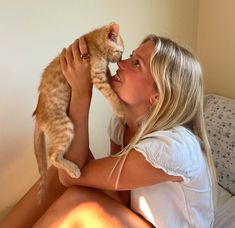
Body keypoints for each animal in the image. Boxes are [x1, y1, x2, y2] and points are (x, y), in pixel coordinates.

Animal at [33, 22, 125, 202]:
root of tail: (38, 117)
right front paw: (119, 108)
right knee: (52, 155)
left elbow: (109, 78)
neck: (94, 43)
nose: (120, 61)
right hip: (65, 125)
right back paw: (73, 169)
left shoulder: (102, 71)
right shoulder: (97, 75)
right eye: (120, 52)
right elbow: (110, 92)